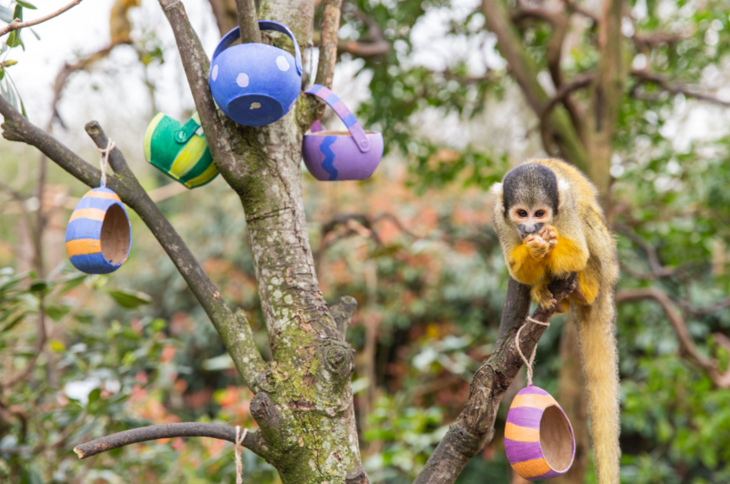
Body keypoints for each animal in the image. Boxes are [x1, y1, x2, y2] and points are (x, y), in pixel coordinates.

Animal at [490, 159, 620, 484]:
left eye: (540, 214)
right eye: (521, 213)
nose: (530, 228)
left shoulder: (567, 206)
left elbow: (577, 254)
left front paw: (548, 241)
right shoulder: (498, 217)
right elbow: (516, 268)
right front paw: (533, 248)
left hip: (607, 262)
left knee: (587, 226)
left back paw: (585, 288)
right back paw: (549, 294)